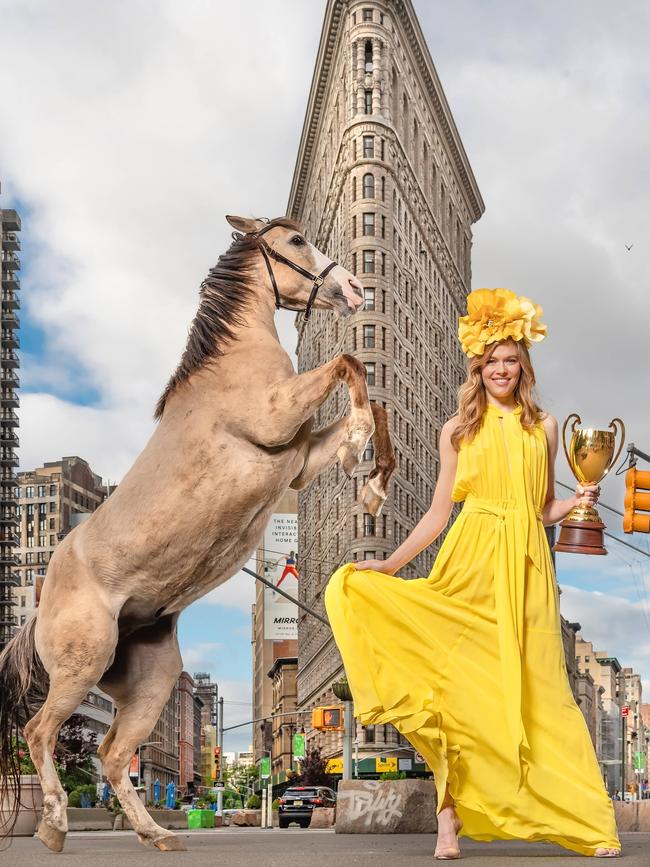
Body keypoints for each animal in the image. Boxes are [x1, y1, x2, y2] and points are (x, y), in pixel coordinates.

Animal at [0, 217, 394, 856]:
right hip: (82, 664)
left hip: (151, 681)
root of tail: (38, 609)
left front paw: (373, 483)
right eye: (295, 242)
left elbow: (368, 396)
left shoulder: (298, 459)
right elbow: (348, 364)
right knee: (40, 733)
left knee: (113, 756)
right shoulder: (276, 419)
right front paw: (363, 460)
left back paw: (157, 833)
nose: (356, 289)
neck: (235, 359)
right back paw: (56, 825)